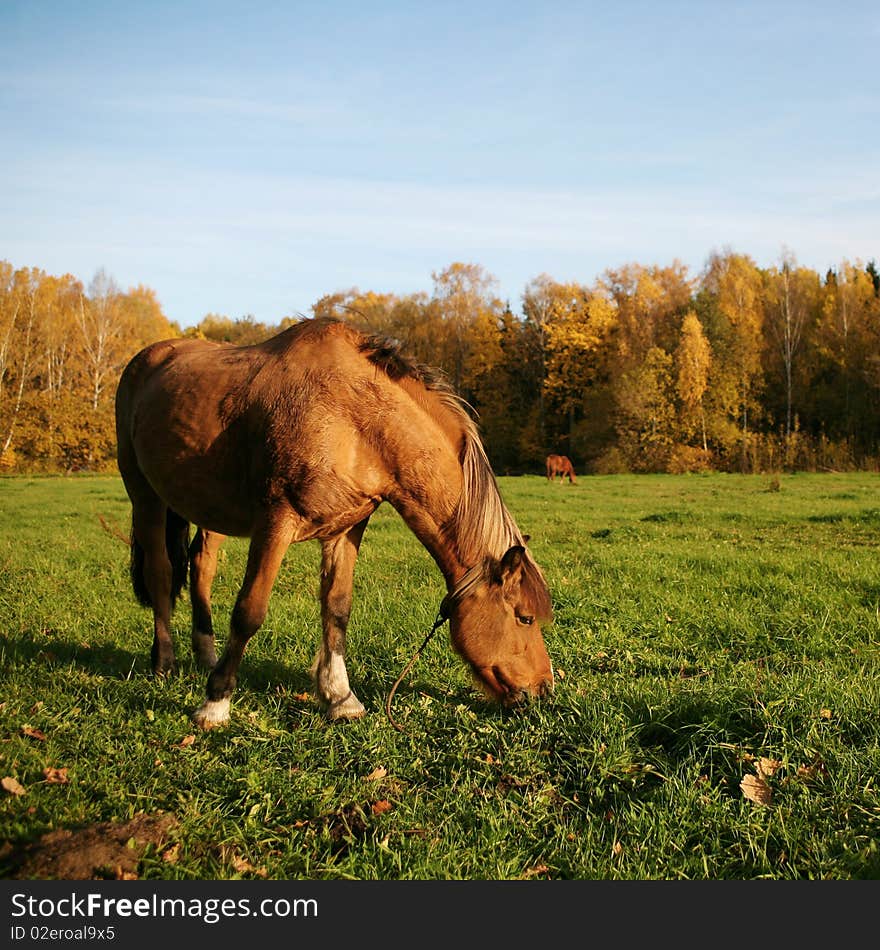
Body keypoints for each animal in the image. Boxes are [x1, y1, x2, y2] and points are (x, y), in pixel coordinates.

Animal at [112, 320, 552, 728]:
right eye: (525, 618)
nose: (543, 689)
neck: (353, 417)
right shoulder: (276, 522)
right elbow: (249, 611)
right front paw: (215, 703)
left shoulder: (346, 530)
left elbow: (337, 609)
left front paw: (340, 697)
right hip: (144, 495)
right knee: (160, 572)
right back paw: (164, 661)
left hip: (211, 509)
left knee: (201, 566)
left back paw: (206, 652)